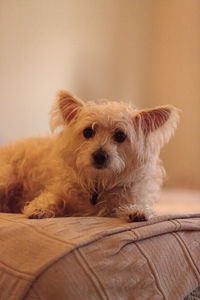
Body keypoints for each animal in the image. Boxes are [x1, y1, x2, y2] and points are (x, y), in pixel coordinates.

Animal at [0, 90, 179, 221]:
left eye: (120, 135)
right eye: (88, 132)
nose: (100, 156)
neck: (98, 184)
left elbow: (135, 204)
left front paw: (139, 211)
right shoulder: (58, 190)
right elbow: (51, 198)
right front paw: (39, 208)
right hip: (7, 178)